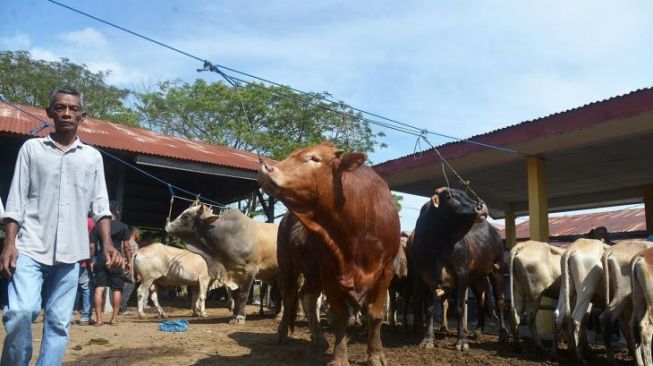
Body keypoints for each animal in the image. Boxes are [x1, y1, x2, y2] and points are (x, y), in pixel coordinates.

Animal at [256, 142, 398, 366]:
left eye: (314, 159)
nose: (265, 167)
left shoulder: (386, 271)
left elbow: (375, 314)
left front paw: (376, 355)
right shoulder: (330, 271)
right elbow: (339, 315)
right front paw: (340, 357)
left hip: (312, 273)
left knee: (307, 297)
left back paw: (319, 337)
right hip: (288, 266)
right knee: (290, 298)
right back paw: (282, 334)